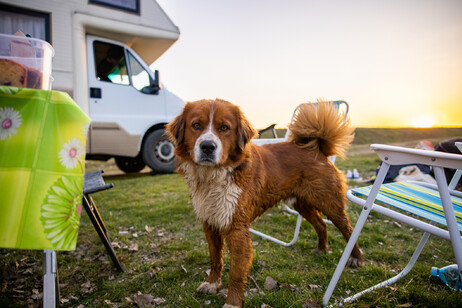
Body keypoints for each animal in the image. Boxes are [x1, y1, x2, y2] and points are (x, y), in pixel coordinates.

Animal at [166, 100, 364, 306]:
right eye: (196, 125)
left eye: (224, 128)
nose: (207, 146)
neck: (214, 176)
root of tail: (315, 148)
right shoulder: (210, 223)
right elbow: (215, 258)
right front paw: (212, 283)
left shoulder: (237, 229)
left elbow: (236, 273)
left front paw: (232, 302)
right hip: (302, 204)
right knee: (321, 224)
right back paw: (322, 249)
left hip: (330, 203)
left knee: (348, 229)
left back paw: (356, 258)